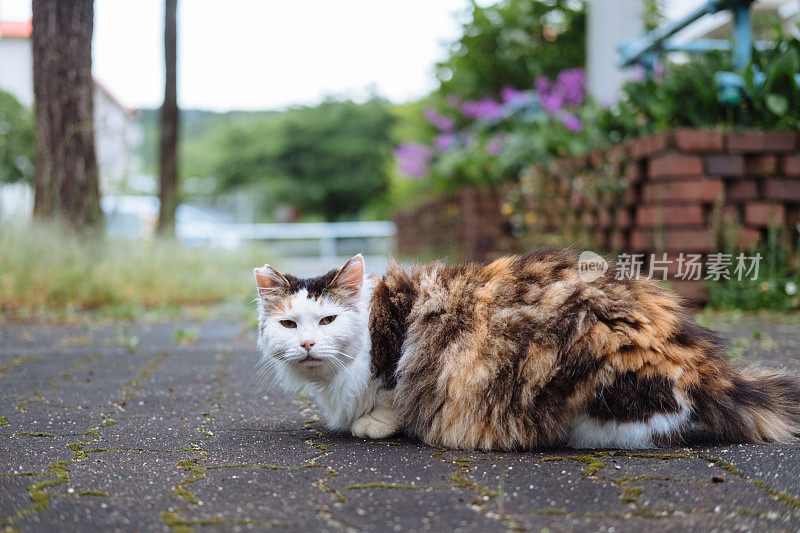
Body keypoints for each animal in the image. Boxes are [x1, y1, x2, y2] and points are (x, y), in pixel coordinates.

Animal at [253, 249, 800, 448]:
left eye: (327, 321)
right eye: (288, 323)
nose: (307, 343)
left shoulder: (396, 356)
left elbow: (392, 394)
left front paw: (372, 423)